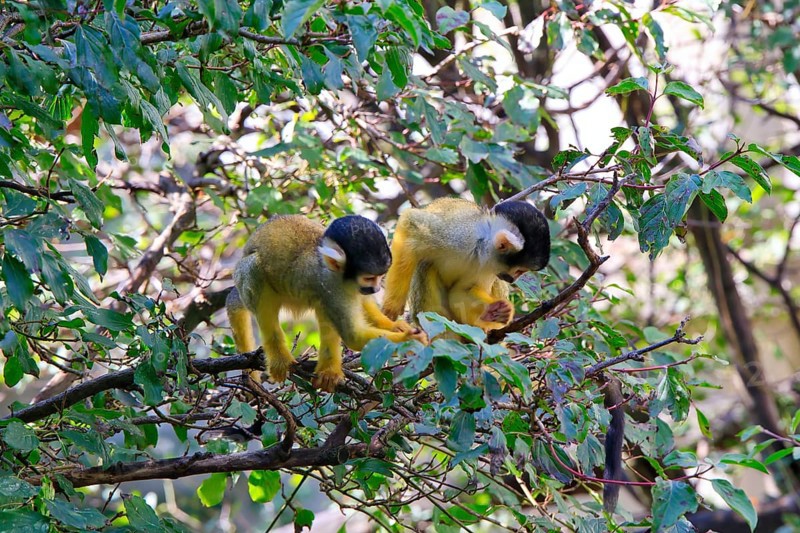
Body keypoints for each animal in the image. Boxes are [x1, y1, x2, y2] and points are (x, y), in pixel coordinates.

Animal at [226, 214, 426, 393]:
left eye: (380, 277)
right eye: (369, 278)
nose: (376, 289)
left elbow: (362, 303)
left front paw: (394, 326)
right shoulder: (331, 285)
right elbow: (353, 335)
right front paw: (410, 339)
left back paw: (329, 371)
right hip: (245, 278)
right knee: (255, 271)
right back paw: (279, 358)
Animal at [382, 197, 551, 331]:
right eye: (519, 270)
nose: (513, 279)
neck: (480, 247)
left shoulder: (489, 267)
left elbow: (462, 291)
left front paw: (492, 310)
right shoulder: (457, 235)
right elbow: (410, 222)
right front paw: (392, 306)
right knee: (425, 265)